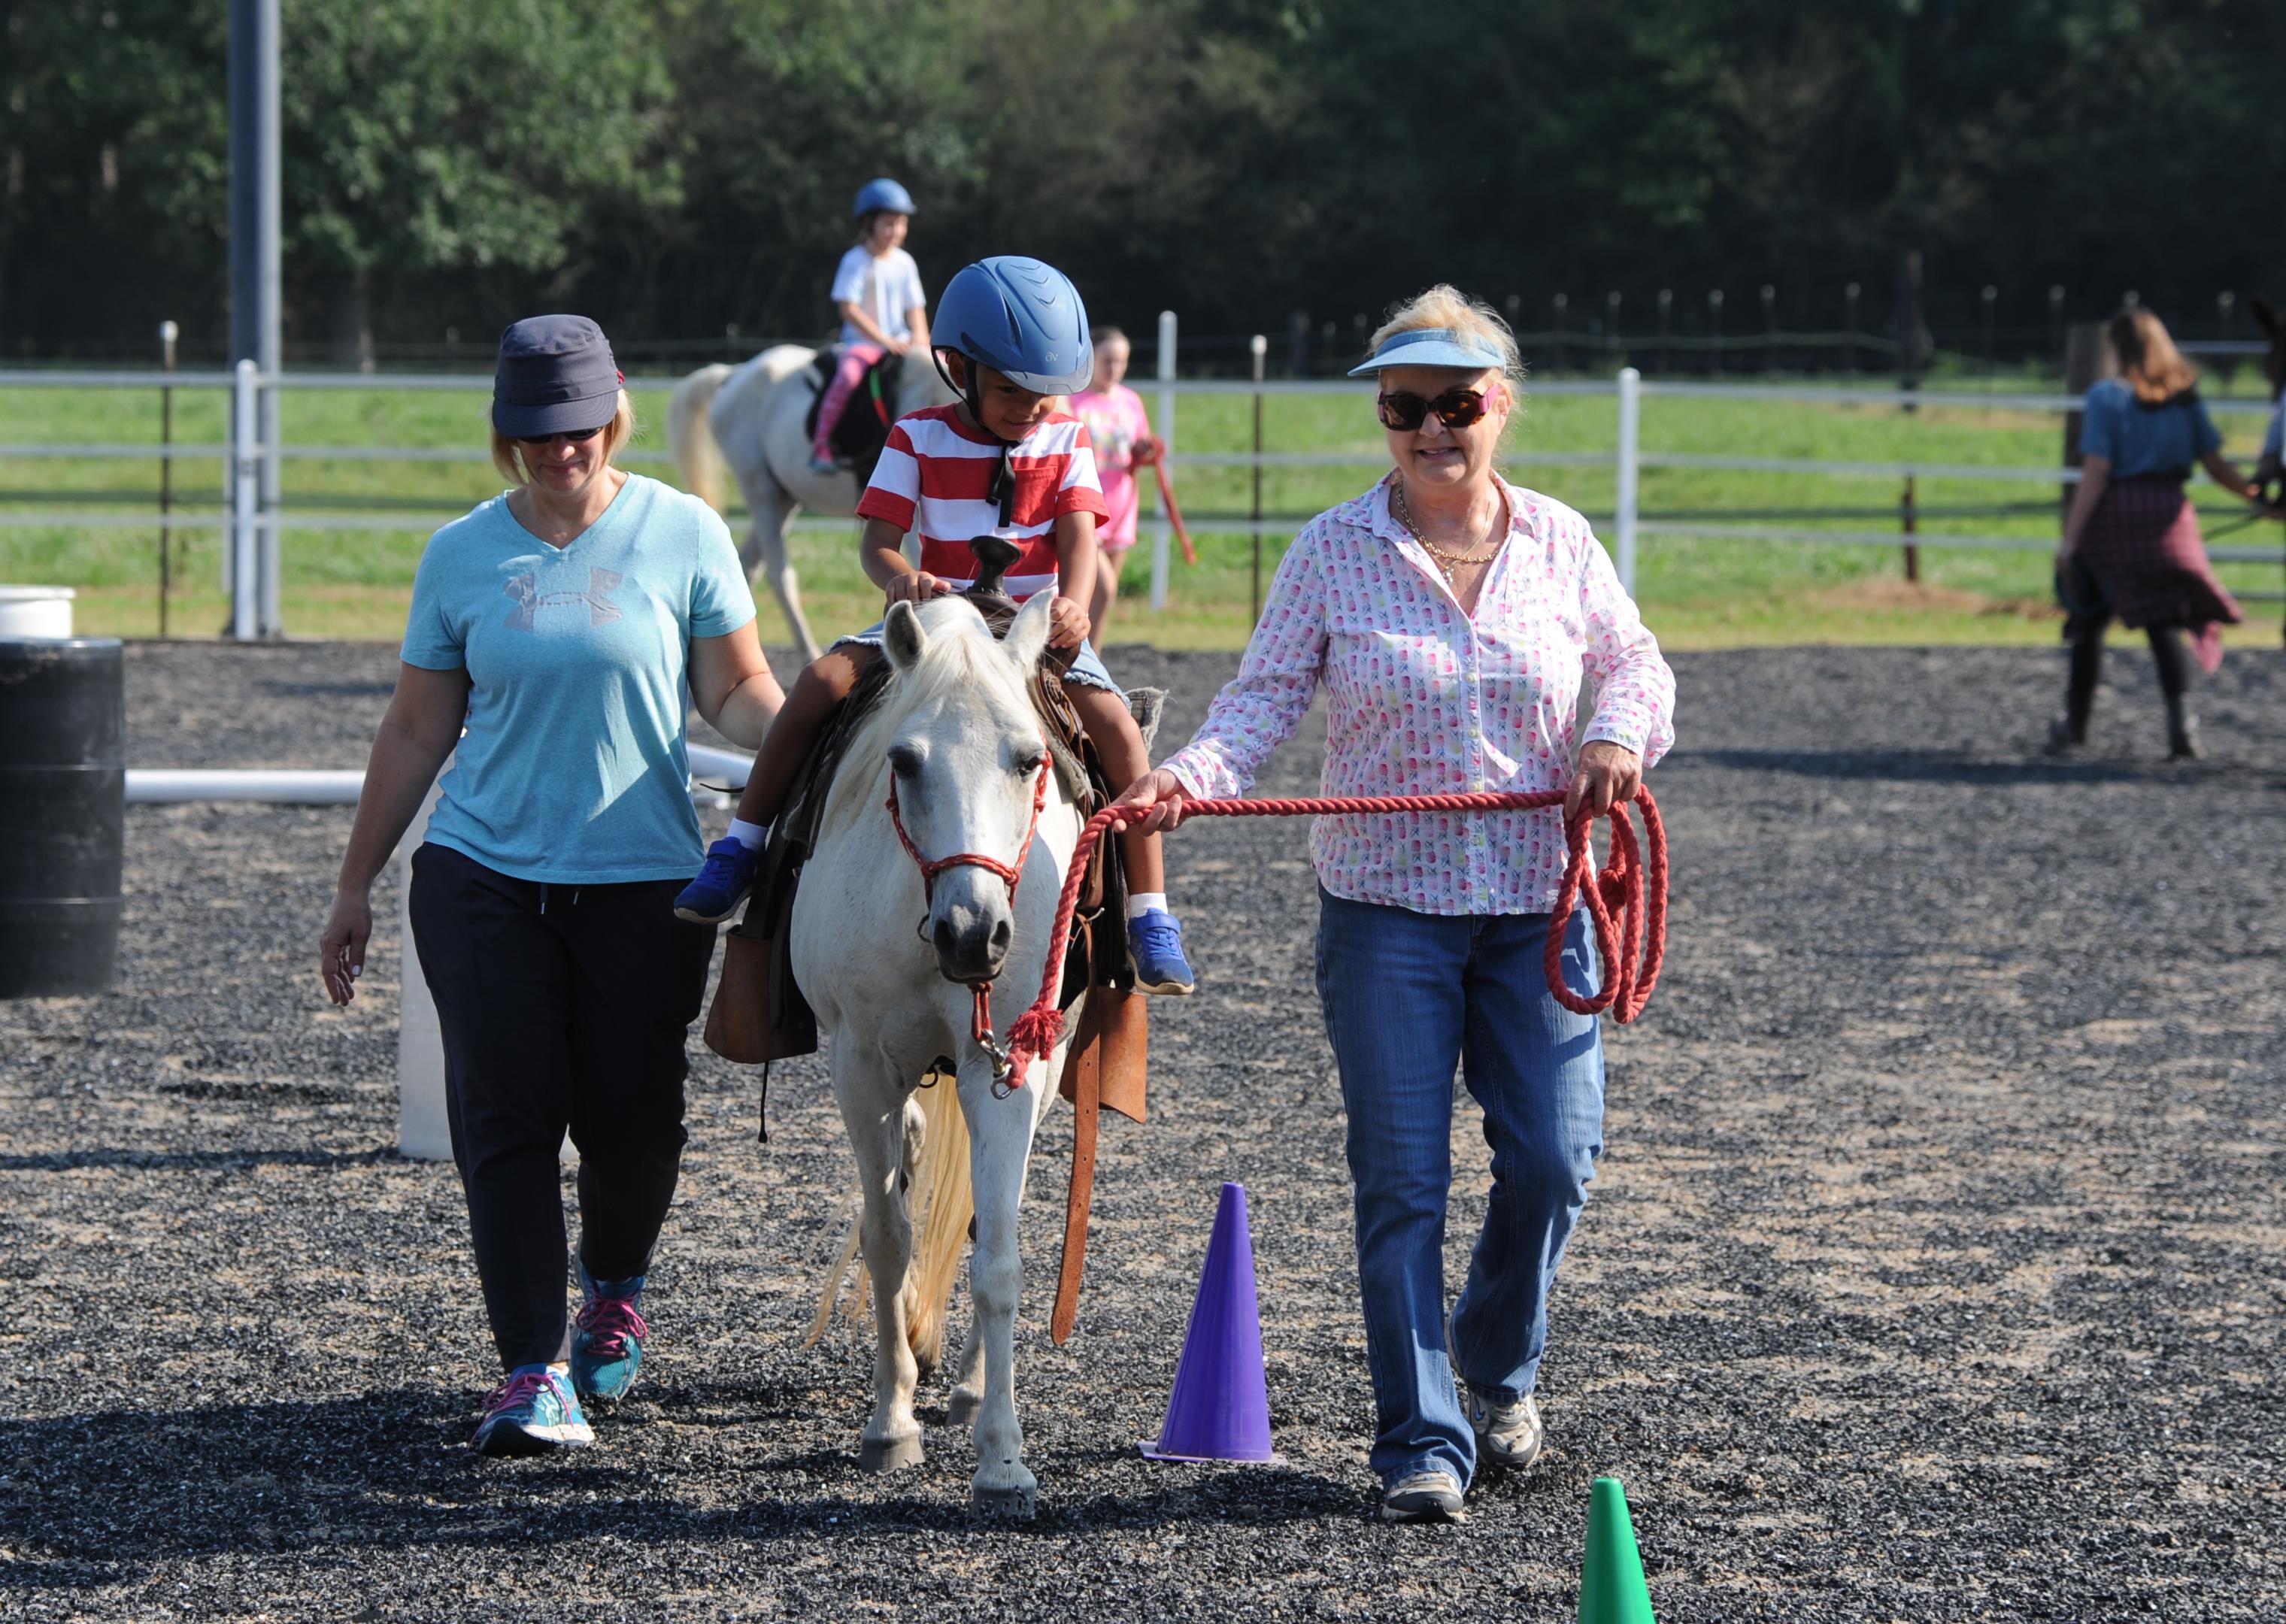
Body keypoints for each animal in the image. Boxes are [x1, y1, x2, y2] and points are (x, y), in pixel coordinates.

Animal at [668, 347, 957, 663]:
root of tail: (734, 375)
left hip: (785, 500)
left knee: (746, 567)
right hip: (762, 492)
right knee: (779, 574)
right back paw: (808, 650)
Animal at [790, 589, 1082, 1518]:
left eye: (1029, 760)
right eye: (906, 761)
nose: (973, 934)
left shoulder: (1006, 1072)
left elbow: (999, 1259)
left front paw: (1002, 1457)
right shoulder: (861, 1068)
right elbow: (888, 1238)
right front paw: (890, 1424)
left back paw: (966, 1388)